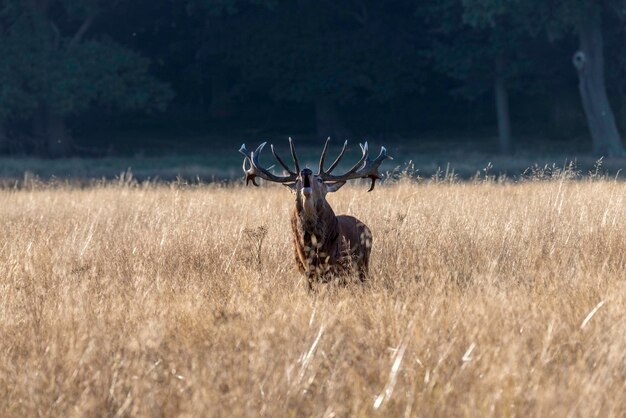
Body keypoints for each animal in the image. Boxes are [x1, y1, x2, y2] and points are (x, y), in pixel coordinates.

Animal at [240, 139, 390, 290]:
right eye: (296, 180)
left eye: (320, 180)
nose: (306, 170)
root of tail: (367, 228)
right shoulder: (304, 270)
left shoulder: (335, 266)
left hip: (362, 263)